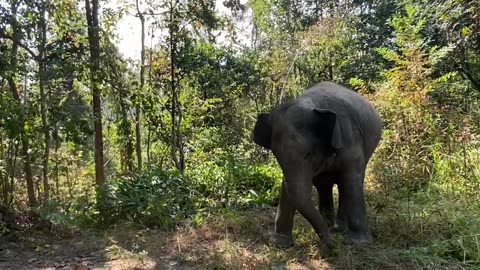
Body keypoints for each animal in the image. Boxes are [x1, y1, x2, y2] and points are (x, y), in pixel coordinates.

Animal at [251, 80, 382, 251]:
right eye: (277, 156)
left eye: (308, 154)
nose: (332, 245)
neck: (312, 104)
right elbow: (287, 189)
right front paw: (279, 245)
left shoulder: (350, 139)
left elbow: (352, 180)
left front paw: (358, 243)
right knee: (324, 186)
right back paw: (332, 226)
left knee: (346, 184)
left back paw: (338, 230)